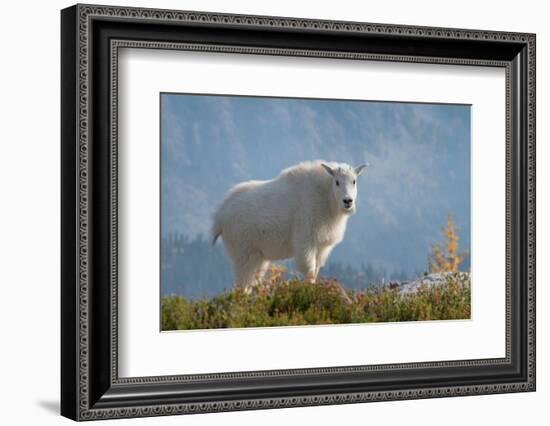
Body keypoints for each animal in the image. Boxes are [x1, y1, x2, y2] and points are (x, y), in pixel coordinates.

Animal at [213, 161, 368, 290]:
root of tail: (220, 216)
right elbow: (309, 270)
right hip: (243, 251)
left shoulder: (322, 246)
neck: (326, 197)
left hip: (258, 255)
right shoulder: (305, 240)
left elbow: (316, 270)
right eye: (337, 182)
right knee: (242, 283)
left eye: (354, 181)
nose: (347, 201)